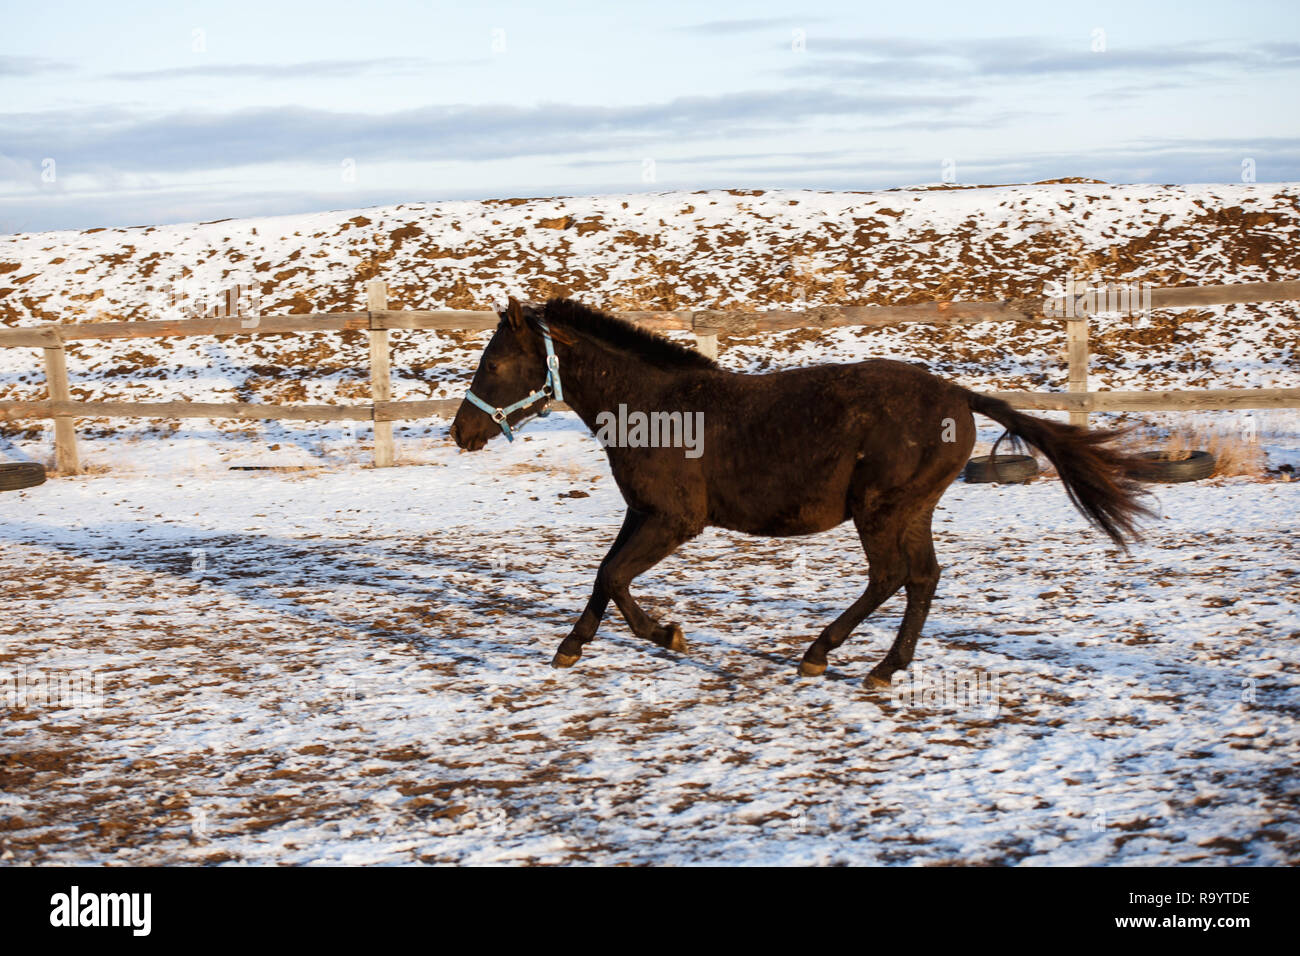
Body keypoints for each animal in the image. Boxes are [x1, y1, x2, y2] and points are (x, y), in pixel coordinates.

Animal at [450, 297, 1154, 687]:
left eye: (494, 362)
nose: (460, 431)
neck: (654, 406)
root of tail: (957, 395)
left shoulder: (675, 519)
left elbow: (617, 577)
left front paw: (666, 634)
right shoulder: (644, 512)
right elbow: (603, 574)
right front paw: (572, 647)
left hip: (880, 510)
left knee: (892, 576)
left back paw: (823, 654)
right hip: (910, 509)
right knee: (922, 578)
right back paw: (884, 667)